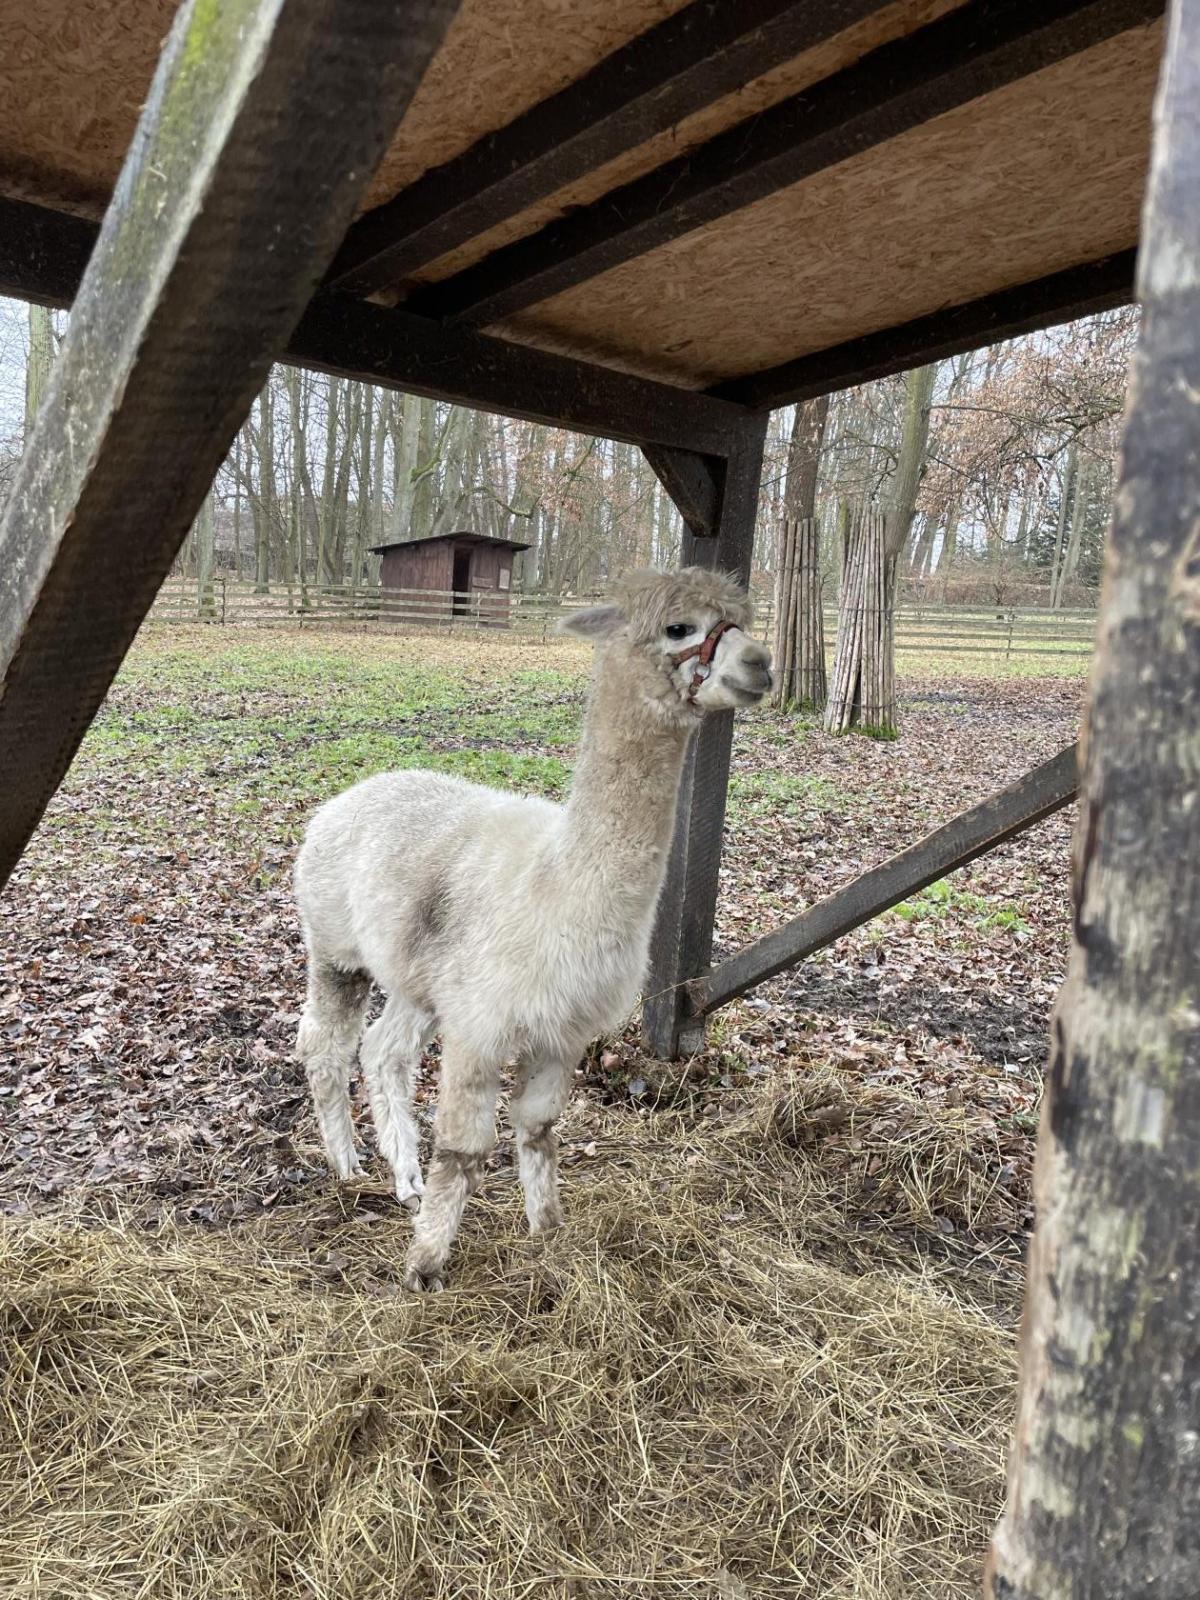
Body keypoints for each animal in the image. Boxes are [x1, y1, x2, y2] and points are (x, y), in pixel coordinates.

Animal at [293, 566, 773, 1289]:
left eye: (741, 621)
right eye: (679, 627)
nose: (761, 663)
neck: (559, 888)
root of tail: (344, 797)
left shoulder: (558, 1032)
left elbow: (539, 1130)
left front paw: (548, 1232)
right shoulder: (483, 1026)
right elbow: (464, 1147)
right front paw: (426, 1266)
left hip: (420, 978)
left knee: (384, 1051)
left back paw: (405, 1178)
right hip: (335, 946)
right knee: (325, 1045)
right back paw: (346, 1166)